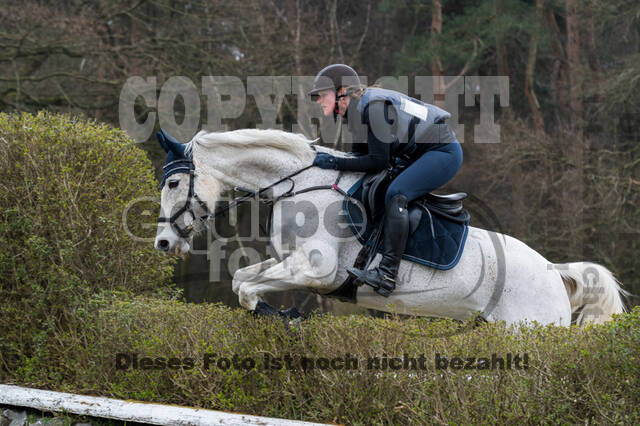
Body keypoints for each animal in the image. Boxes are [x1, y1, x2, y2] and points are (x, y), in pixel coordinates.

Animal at [152, 128, 628, 324]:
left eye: (173, 183)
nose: (162, 242)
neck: (299, 181)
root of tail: (554, 272)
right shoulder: (292, 263)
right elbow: (242, 279)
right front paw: (276, 314)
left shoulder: (318, 269)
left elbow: (247, 287)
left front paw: (281, 317)